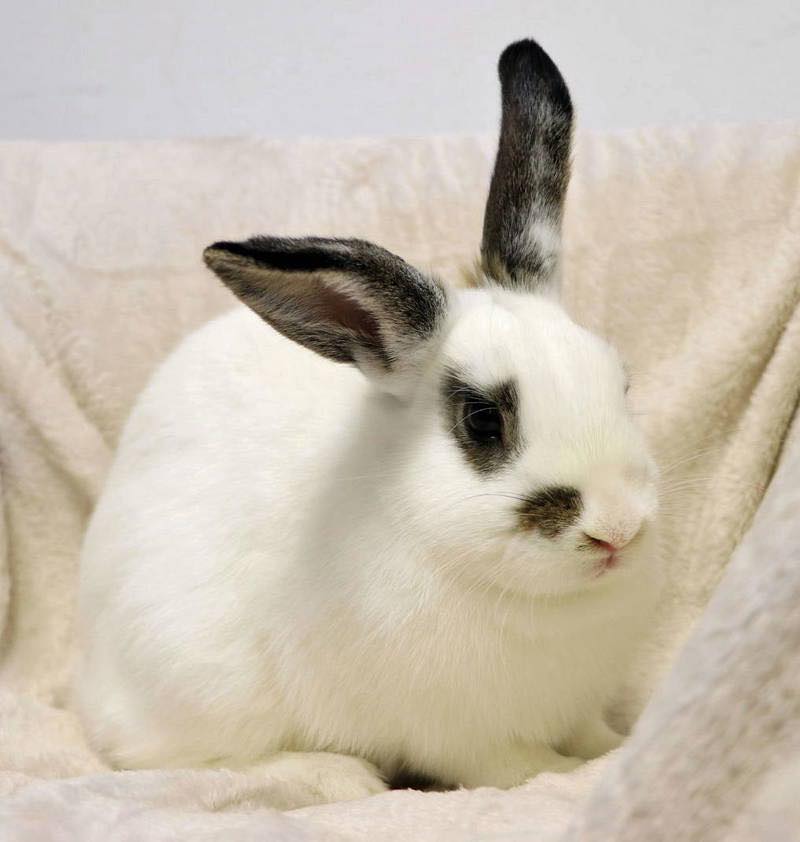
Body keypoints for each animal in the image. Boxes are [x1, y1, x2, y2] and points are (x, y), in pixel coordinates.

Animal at [75, 39, 661, 805]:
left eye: (620, 381)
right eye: (481, 421)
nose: (616, 529)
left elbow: (592, 732)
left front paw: (615, 745)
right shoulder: (462, 737)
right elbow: (514, 769)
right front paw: (572, 774)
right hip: (198, 679)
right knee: (177, 757)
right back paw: (334, 774)